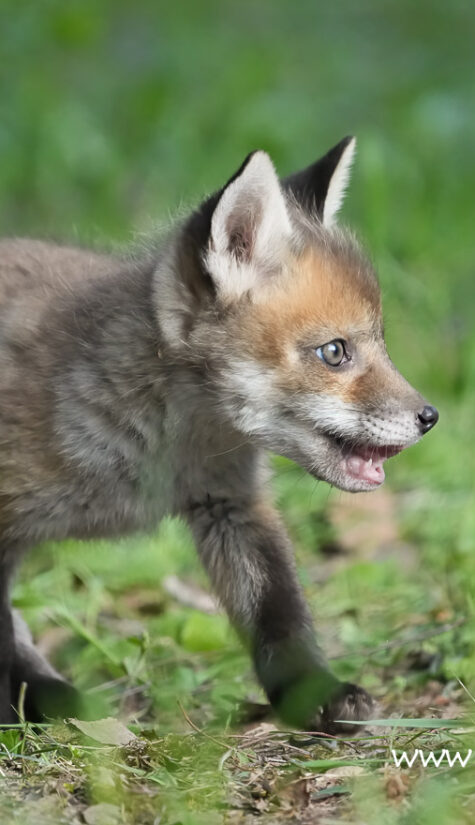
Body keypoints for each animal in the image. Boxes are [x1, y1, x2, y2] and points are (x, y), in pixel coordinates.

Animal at [0, 137, 438, 729]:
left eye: (382, 344)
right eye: (335, 352)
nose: (429, 417)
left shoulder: (231, 503)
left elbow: (279, 616)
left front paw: (315, 693)